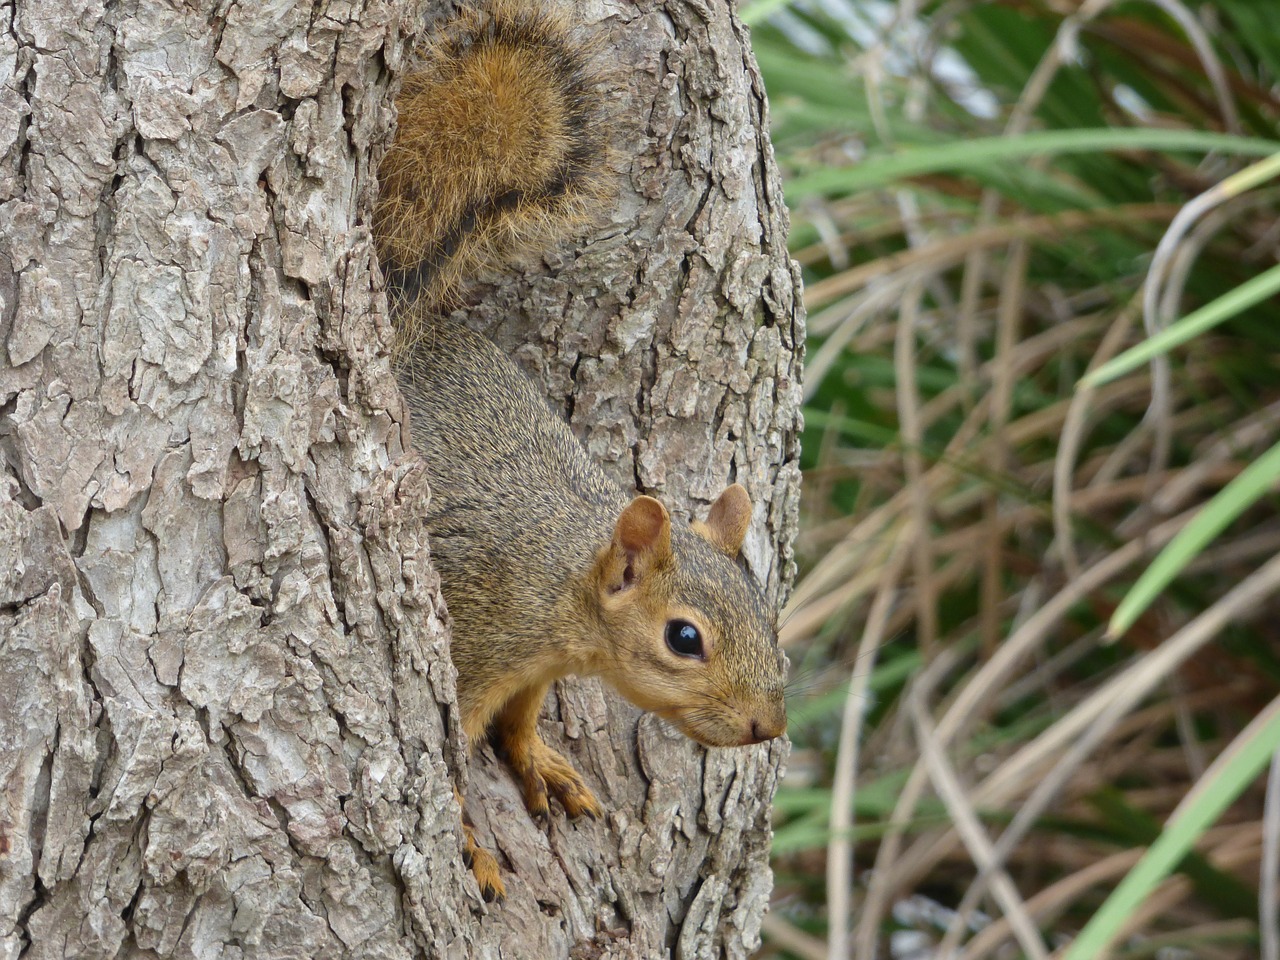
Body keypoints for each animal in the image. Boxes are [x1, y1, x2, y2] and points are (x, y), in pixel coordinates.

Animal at [373, 0, 783, 906]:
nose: (766, 726)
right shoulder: (479, 639)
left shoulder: (535, 668)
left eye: (766, 611)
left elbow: (522, 721)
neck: (562, 574)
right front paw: (470, 842)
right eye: (684, 639)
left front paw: (539, 764)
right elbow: (454, 757)